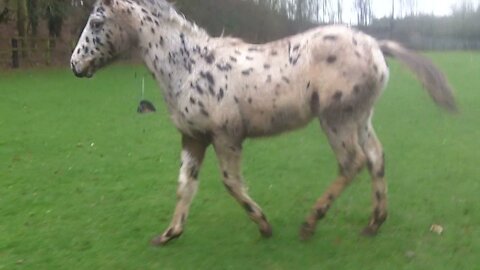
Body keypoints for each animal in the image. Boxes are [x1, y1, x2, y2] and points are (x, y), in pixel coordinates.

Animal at [70, 0, 458, 246]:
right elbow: (185, 185)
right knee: (376, 158)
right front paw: (169, 234)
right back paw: (374, 224)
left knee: (353, 162)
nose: (75, 65)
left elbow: (231, 183)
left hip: (336, 120)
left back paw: (310, 224)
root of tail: (375, 44)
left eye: (97, 22)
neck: (189, 66)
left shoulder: (225, 135)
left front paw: (264, 225)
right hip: (361, 117)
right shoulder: (193, 137)